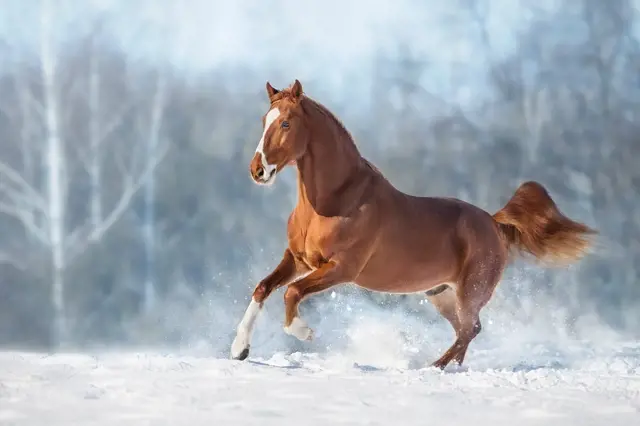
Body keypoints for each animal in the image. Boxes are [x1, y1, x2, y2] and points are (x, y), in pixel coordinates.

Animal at [231, 79, 600, 370]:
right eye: (265, 120)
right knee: (466, 330)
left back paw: (432, 367)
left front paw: (304, 332)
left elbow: (291, 292)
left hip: (471, 291)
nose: (257, 170)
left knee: (471, 329)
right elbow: (263, 288)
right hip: (442, 294)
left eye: (286, 124)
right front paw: (239, 350)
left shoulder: (341, 268)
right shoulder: (297, 259)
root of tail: (493, 224)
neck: (334, 202)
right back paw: (447, 367)